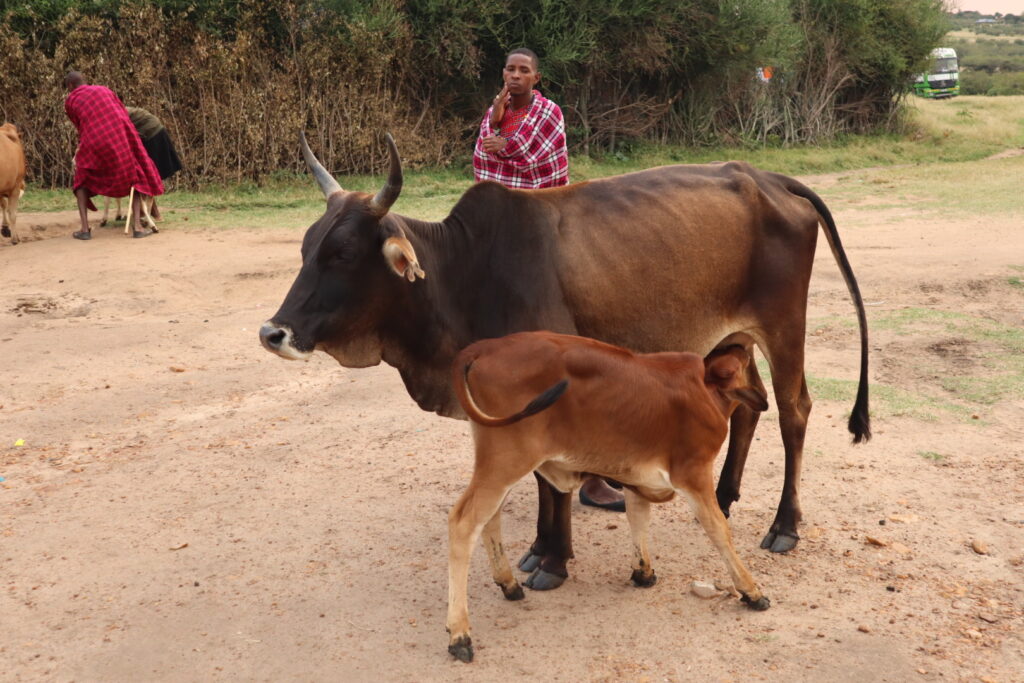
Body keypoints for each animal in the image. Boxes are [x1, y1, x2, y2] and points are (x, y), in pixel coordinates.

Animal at [444, 331, 770, 663]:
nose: (763, 397)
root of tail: (485, 346)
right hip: (506, 460)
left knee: (489, 519)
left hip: (500, 464)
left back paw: (508, 584)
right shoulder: (694, 473)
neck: (705, 387)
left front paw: (643, 572)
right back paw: (460, 633)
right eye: (748, 364)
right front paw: (751, 590)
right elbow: (718, 530)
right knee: (463, 523)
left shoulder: (636, 477)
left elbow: (638, 519)